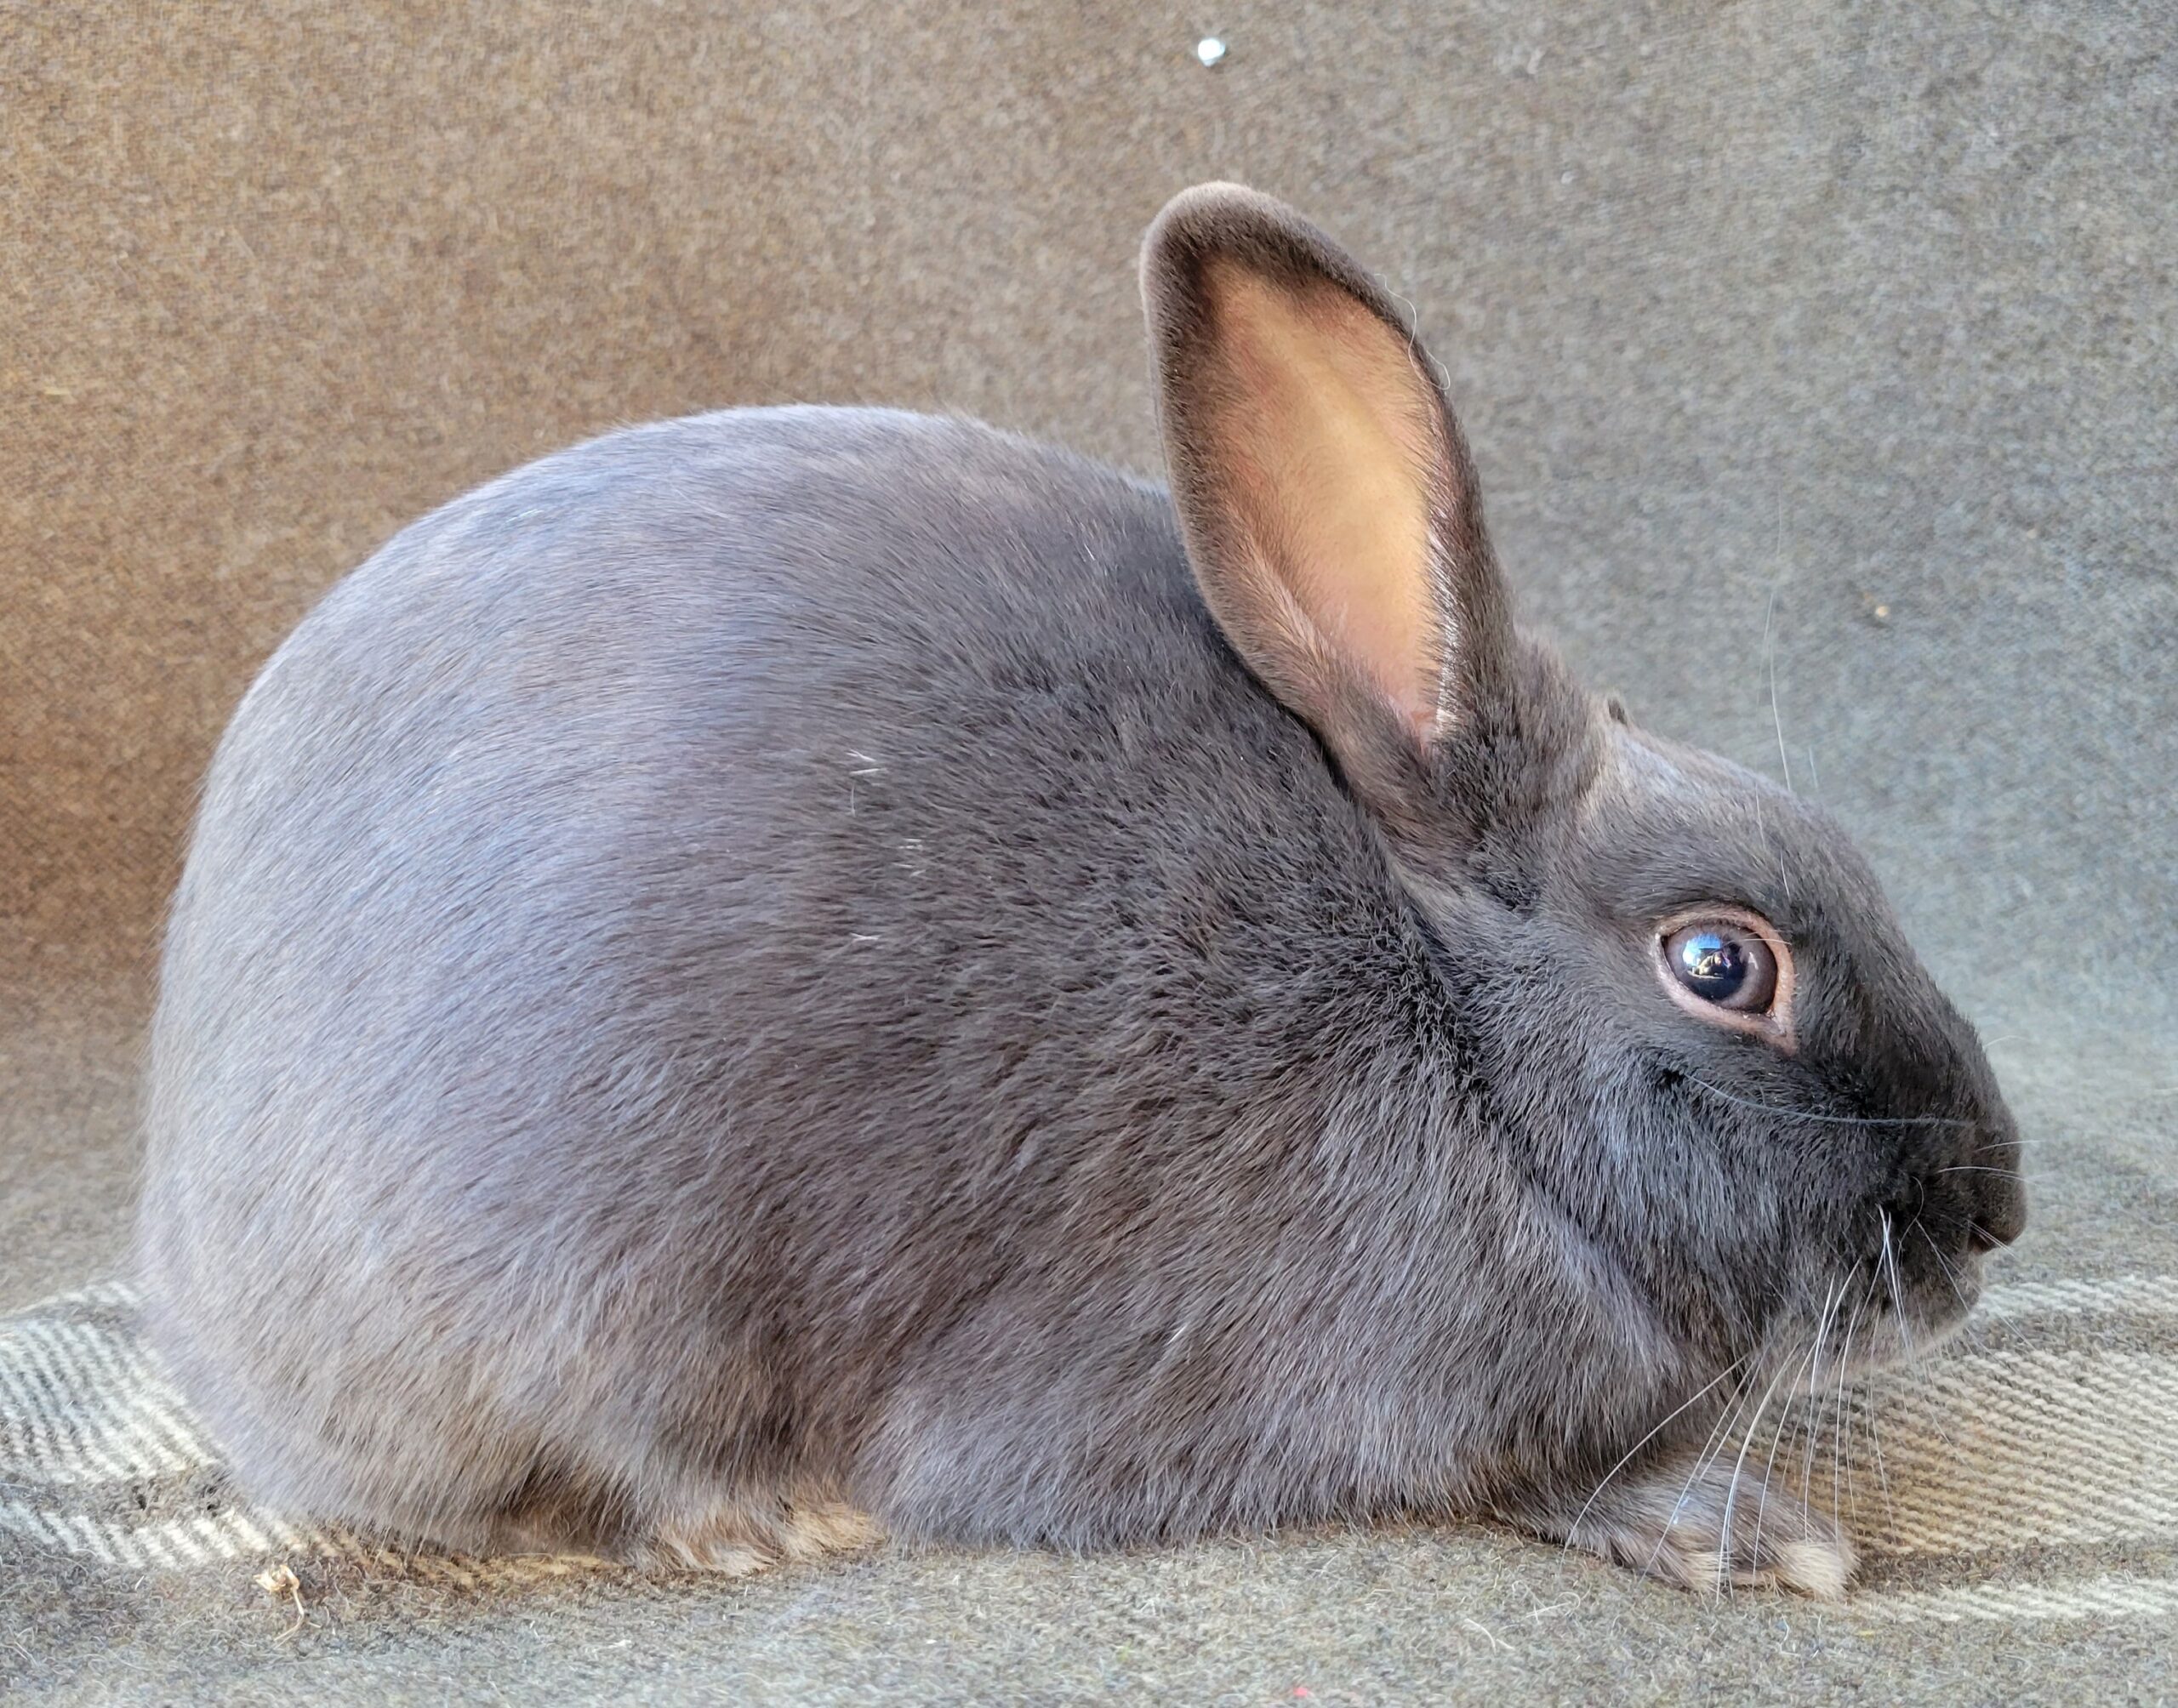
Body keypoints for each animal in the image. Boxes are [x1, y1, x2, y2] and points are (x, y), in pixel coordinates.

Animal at [140, 179, 2021, 1594]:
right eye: (1720, 961)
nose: (1992, 1217)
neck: (1468, 1043)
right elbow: (1524, 1479)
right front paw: (1739, 1526)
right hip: (568, 1276)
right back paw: (769, 1519)